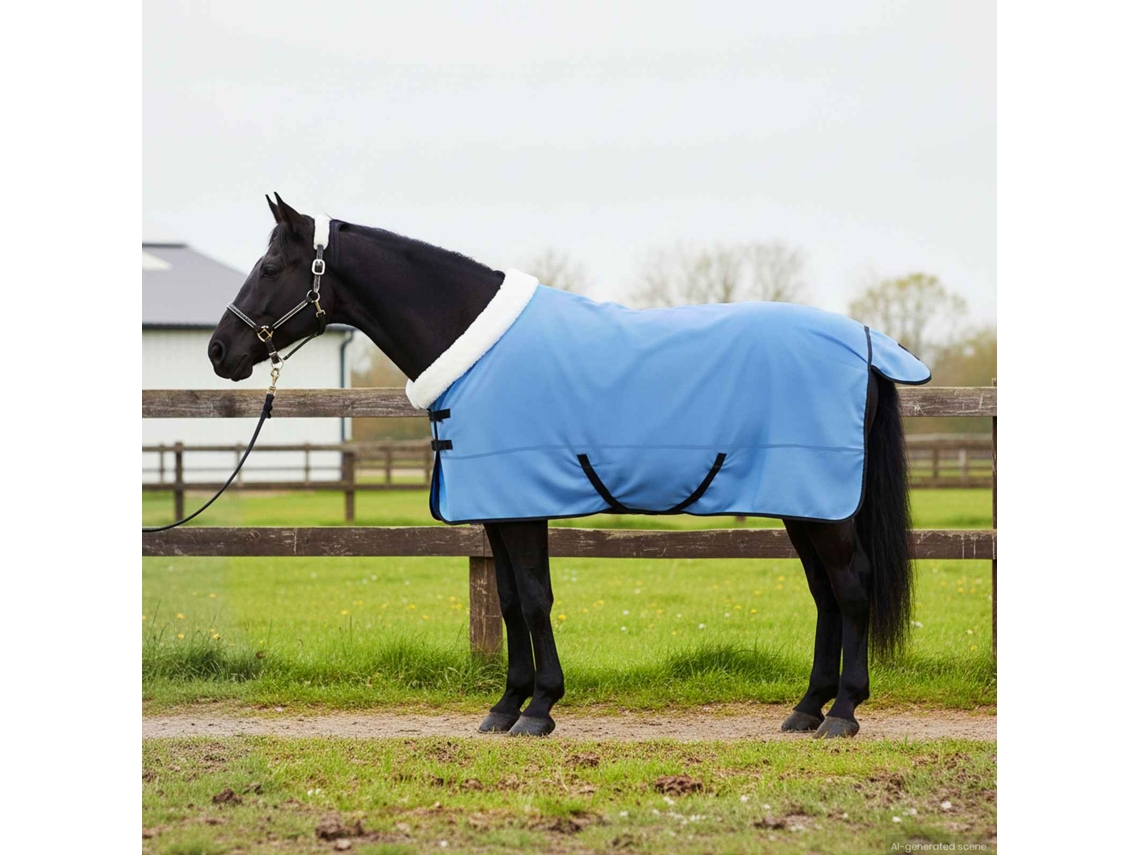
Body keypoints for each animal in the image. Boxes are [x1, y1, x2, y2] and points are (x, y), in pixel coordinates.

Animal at [208, 194, 923, 739]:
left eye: (270, 265)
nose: (219, 350)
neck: (473, 347)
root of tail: (866, 343)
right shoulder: (498, 511)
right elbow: (507, 602)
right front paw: (506, 707)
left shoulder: (521, 506)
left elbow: (532, 598)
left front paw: (540, 709)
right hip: (805, 504)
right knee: (825, 593)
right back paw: (807, 709)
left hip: (826, 507)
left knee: (851, 586)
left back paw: (843, 713)